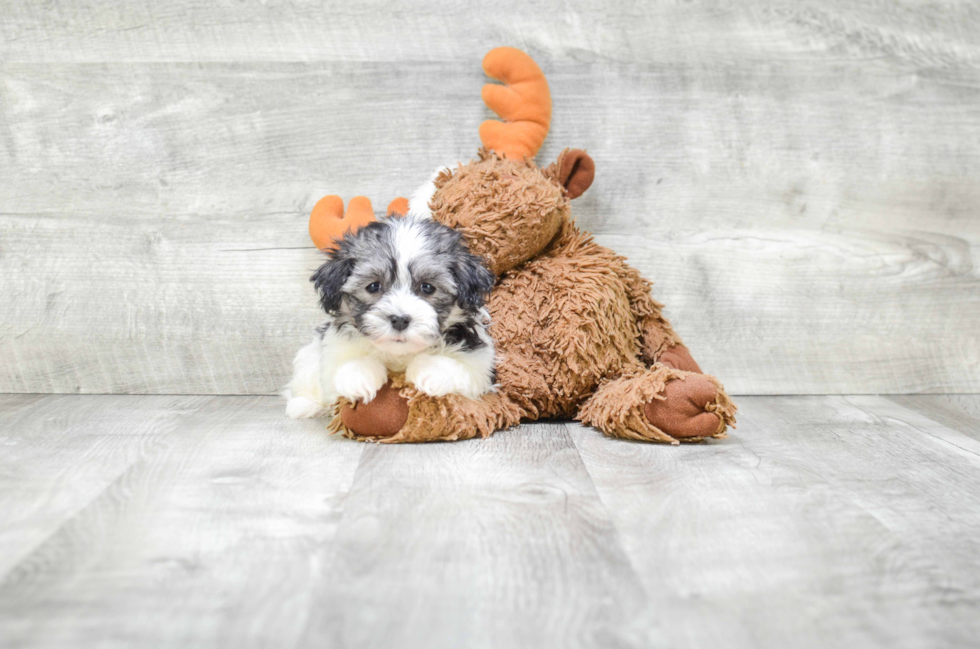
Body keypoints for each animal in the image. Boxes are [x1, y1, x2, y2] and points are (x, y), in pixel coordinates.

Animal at [284, 211, 498, 416]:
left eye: (427, 287)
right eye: (373, 286)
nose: (400, 320)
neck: (399, 354)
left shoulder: (481, 365)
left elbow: (463, 369)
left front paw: (431, 371)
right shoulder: (333, 352)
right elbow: (339, 373)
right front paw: (358, 376)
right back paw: (302, 405)